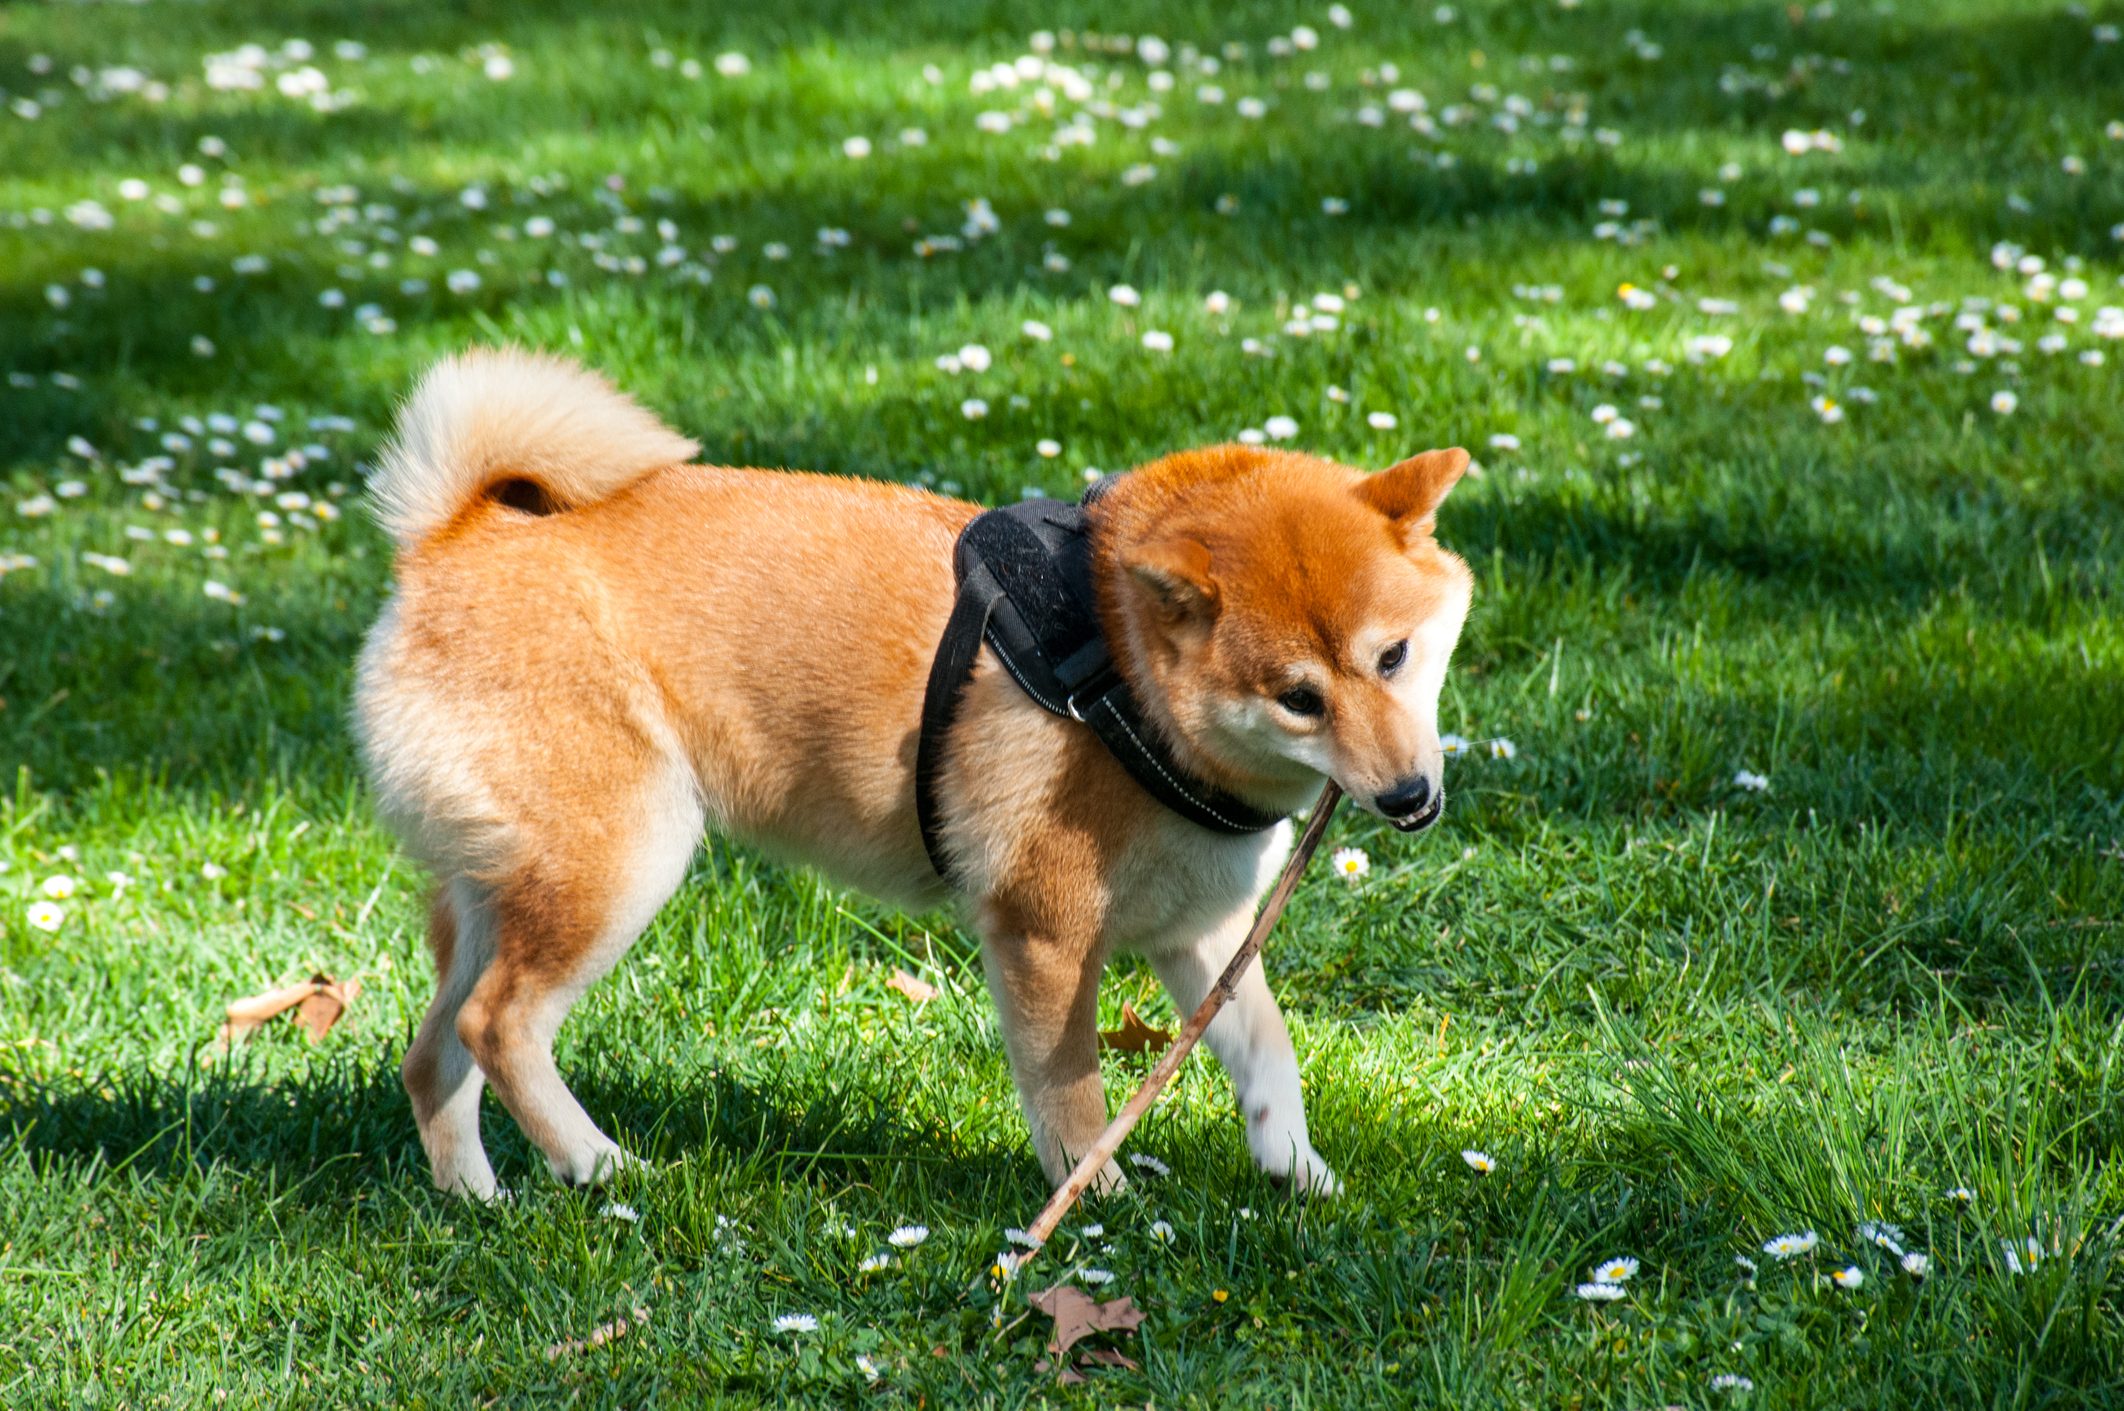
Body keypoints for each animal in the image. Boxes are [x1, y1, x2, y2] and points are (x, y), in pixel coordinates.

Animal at [356, 352, 1469, 1198]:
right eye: (1297, 697)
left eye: (1394, 656)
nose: (1411, 798)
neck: (1124, 674)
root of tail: (450, 539)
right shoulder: (1043, 935)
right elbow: (1072, 1093)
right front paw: (1094, 1200)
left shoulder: (1203, 932)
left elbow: (1268, 1055)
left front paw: (1299, 1172)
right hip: (622, 864)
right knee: (497, 1025)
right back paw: (598, 1164)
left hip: (503, 892)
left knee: (435, 1052)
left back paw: (477, 1196)